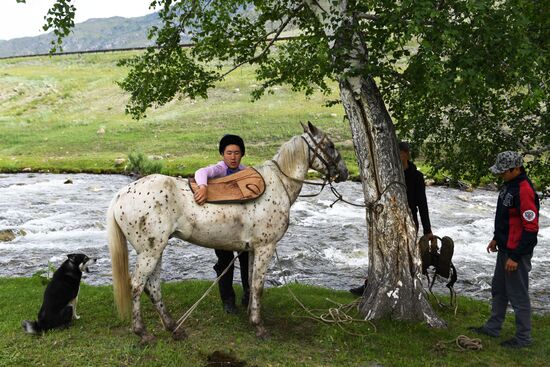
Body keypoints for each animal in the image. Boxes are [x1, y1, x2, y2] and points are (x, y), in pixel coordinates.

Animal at [107, 123, 350, 344]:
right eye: (330, 145)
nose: (344, 172)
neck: (277, 185)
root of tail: (121, 195)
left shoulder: (253, 249)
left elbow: (251, 282)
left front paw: (251, 316)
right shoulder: (266, 248)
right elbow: (258, 286)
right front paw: (259, 327)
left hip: (155, 250)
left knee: (153, 287)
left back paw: (174, 328)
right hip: (150, 252)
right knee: (137, 286)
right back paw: (143, 333)